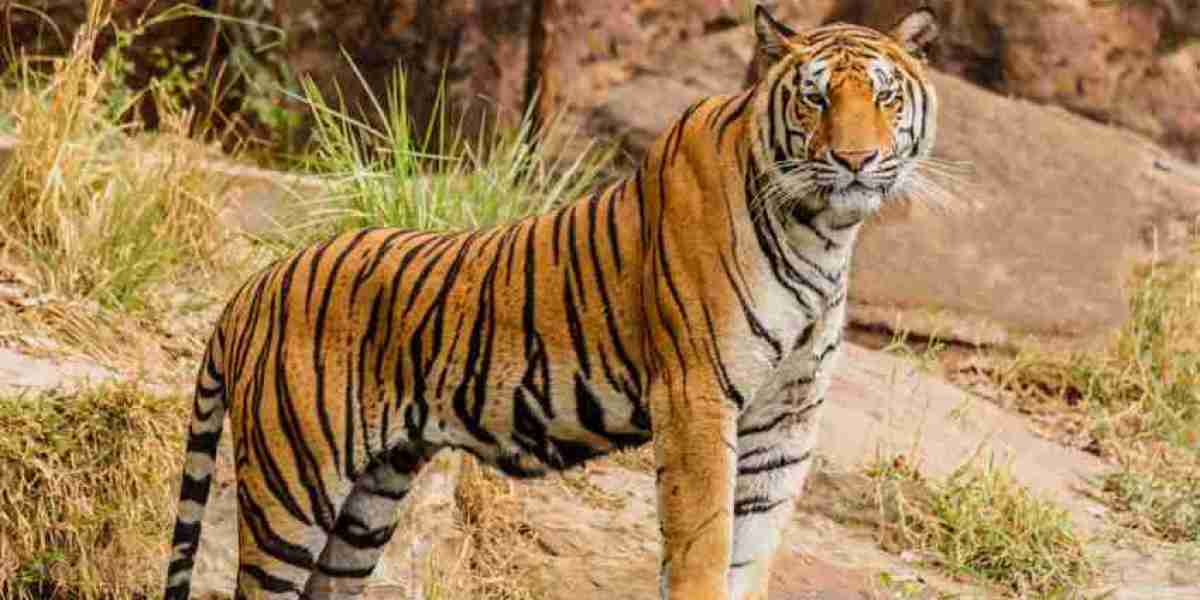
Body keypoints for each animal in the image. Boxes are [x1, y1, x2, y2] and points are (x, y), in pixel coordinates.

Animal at [163, 5, 940, 600]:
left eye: (885, 97)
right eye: (816, 98)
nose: (856, 161)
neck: (823, 233)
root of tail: (253, 286)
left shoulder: (787, 416)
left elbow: (752, 547)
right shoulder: (696, 395)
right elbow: (704, 542)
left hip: (368, 502)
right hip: (293, 486)